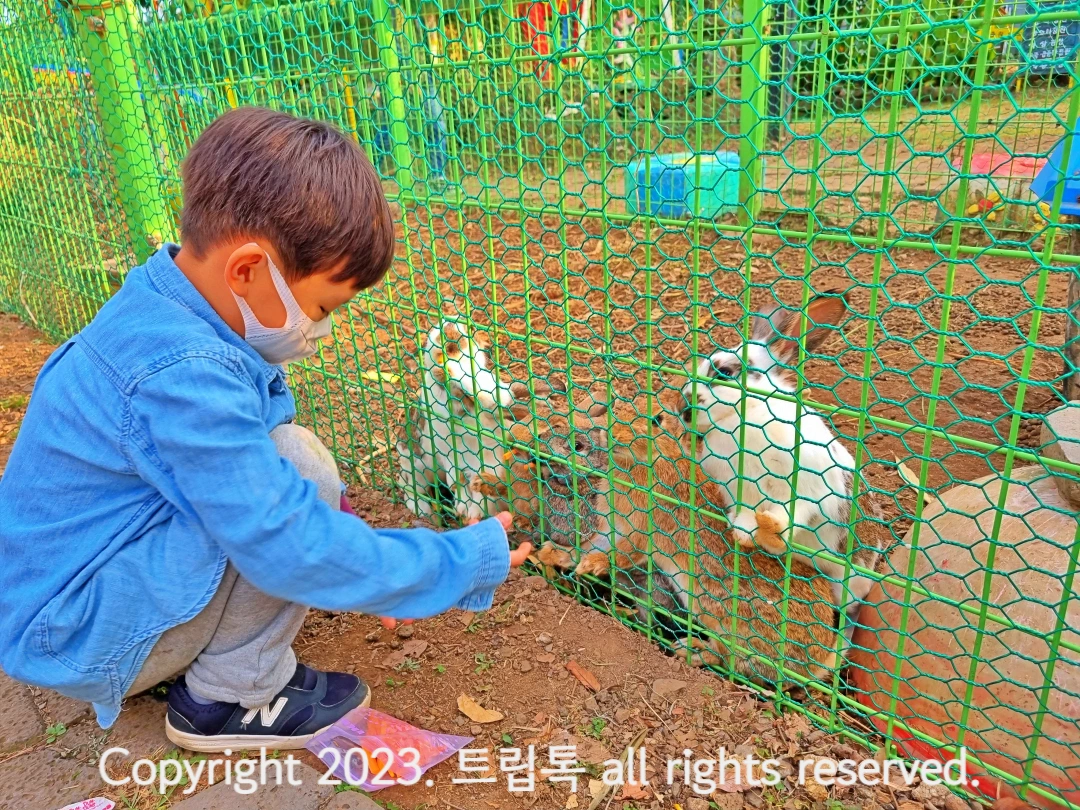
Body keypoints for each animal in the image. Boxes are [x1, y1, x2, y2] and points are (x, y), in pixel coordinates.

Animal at [678, 291, 881, 635]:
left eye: (725, 372)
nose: (683, 409)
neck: (742, 417)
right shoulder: (738, 492)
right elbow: (745, 517)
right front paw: (745, 536)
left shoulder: (808, 489)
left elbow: (792, 514)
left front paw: (771, 527)